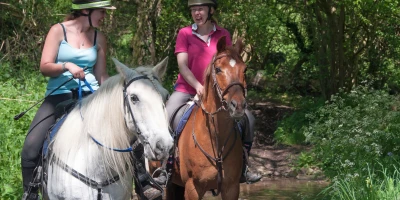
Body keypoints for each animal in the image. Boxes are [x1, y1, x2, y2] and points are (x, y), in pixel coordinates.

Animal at [166, 36, 247, 200]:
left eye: (245, 70)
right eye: (218, 69)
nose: (239, 105)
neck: (216, 138)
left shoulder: (232, 187)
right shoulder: (193, 188)